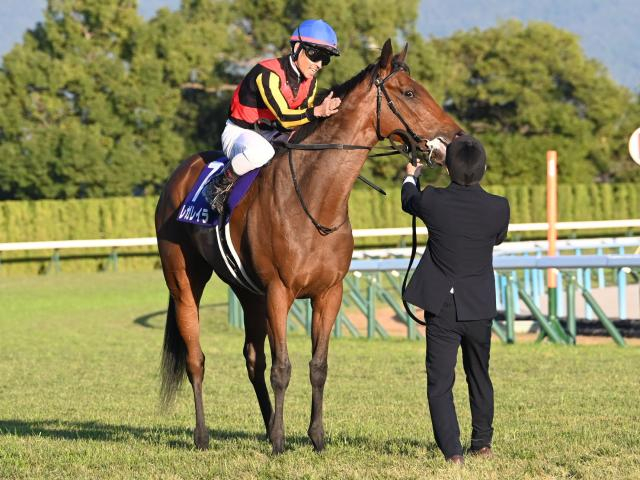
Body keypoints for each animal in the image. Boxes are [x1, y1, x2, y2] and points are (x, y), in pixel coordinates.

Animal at [155, 39, 462, 453]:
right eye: (409, 92)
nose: (455, 139)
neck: (316, 199)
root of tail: (179, 174)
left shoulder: (328, 293)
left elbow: (318, 366)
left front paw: (315, 437)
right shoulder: (278, 292)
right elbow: (283, 368)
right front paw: (280, 442)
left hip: (248, 292)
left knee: (253, 359)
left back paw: (267, 423)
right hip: (185, 282)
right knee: (196, 359)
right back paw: (204, 435)